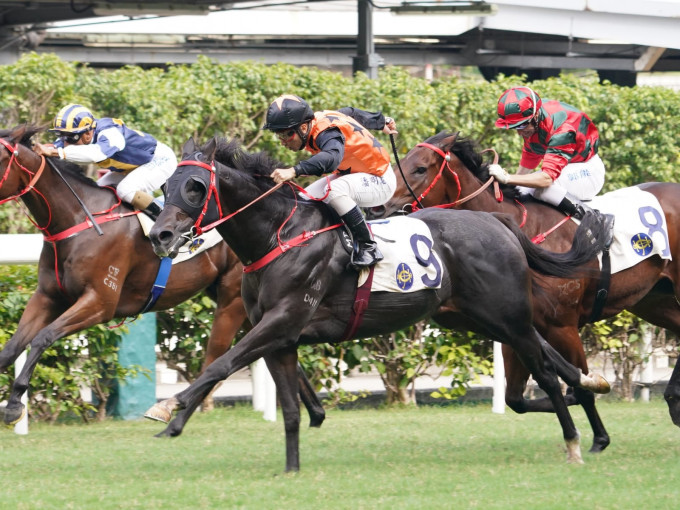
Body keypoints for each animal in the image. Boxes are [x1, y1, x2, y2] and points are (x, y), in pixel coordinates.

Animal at [0, 125, 324, 428]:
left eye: (1, 158)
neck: (79, 220)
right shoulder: (47, 296)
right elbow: (11, 348)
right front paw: (12, 404)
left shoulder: (100, 302)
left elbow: (42, 338)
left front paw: (14, 406)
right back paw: (315, 412)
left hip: (231, 300)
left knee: (218, 354)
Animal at [143, 134, 612, 470]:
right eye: (166, 185)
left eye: (195, 187)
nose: (160, 235)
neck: (280, 233)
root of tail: (497, 221)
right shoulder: (280, 337)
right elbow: (288, 408)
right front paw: (292, 468)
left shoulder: (283, 319)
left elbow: (221, 364)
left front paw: (167, 407)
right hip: (473, 317)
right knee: (548, 355)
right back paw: (590, 387)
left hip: (506, 316)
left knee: (545, 373)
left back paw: (575, 441)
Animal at [370, 130, 680, 450]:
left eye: (420, 168)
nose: (378, 207)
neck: (523, 233)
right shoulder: (516, 327)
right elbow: (516, 398)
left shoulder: (562, 326)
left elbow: (579, 385)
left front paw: (599, 437)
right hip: (653, 301)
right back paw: (672, 399)